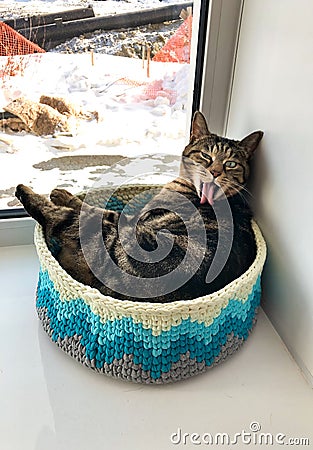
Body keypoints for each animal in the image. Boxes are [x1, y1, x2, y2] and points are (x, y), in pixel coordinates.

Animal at [15, 112, 262, 302]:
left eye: (231, 164)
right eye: (205, 156)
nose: (216, 172)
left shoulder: (132, 220)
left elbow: (100, 210)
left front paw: (61, 194)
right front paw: (62, 193)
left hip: (112, 236)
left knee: (62, 218)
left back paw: (24, 191)